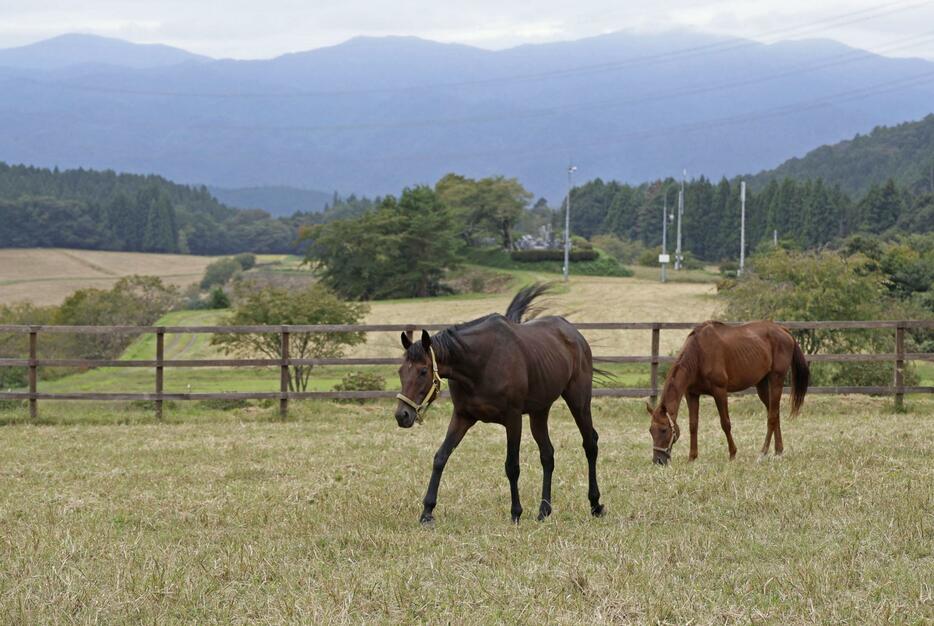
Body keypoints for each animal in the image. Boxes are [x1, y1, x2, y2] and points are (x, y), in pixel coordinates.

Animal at [394, 282, 608, 520]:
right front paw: (427, 511)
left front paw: (516, 512)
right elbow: (441, 457)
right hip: (539, 411)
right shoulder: (462, 416)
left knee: (590, 443)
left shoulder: (513, 419)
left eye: (423, 371)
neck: (479, 363)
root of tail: (575, 334)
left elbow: (512, 466)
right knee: (547, 454)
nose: (402, 415)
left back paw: (595, 504)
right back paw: (544, 510)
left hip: (578, 401)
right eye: (401, 371)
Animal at [648, 322, 808, 464]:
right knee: (775, 413)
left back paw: (763, 452)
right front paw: (692, 457)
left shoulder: (720, 391)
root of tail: (784, 330)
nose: (658, 461)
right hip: (762, 385)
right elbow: (693, 425)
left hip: (776, 380)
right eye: (650, 430)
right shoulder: (691, 394)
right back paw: (778, 451)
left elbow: (725, 423)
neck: (699, 354)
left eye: (664, 430)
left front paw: (732, 454)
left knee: (772, 417)